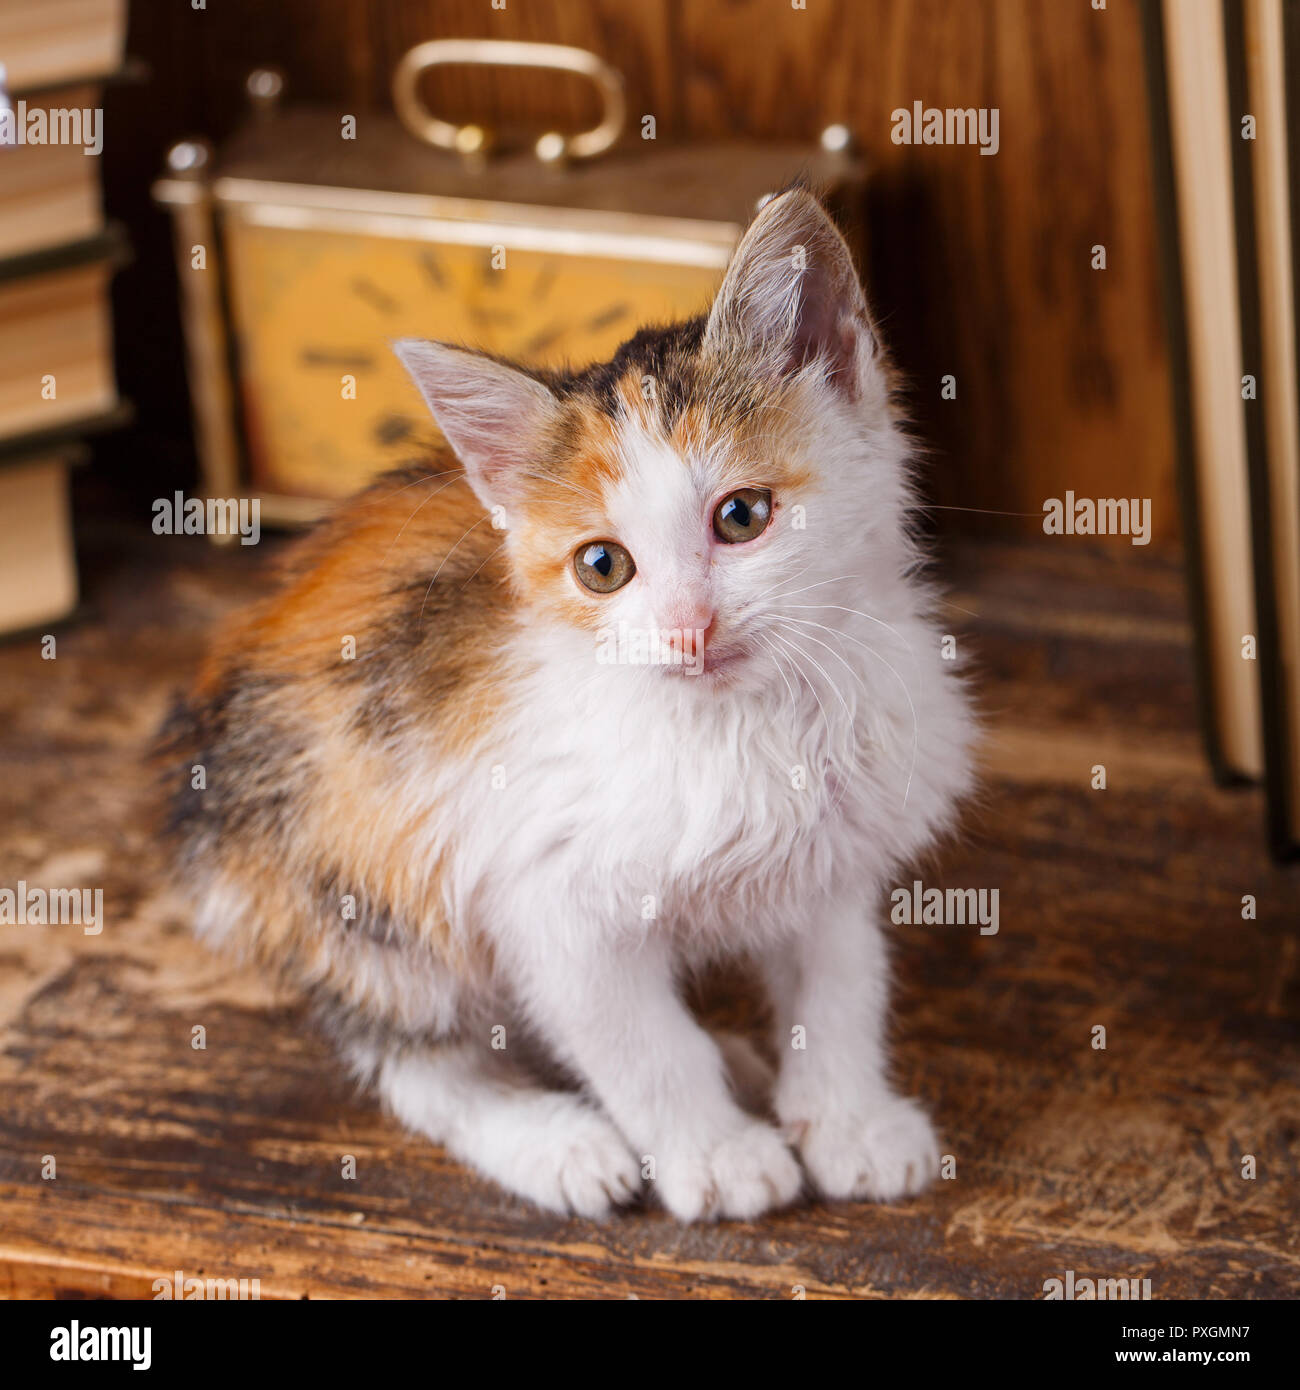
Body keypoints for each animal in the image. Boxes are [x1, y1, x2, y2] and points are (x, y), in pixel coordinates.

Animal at [159, 190, 978, 1223]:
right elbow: (640, 1045)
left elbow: (838, 989)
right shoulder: (545, 895)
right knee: (416, 1062)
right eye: (602, 567)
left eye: (742, 516)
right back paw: (552, 1141)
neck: (742, 722)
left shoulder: (835, 847)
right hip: (354, 885)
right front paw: (715, 1155)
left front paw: (848, 1123)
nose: (688, 629)